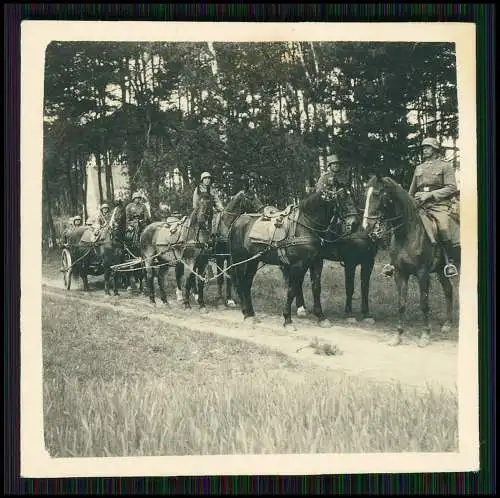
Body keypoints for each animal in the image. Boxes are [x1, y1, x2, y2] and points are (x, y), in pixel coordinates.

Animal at [227, 187, 356, 326]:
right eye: (341, 199)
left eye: (352, 197)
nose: (355, 223)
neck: (305, 225)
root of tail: (237, 221)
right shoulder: (297, 265)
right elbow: (292, 290)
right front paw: (287, 319)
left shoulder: (316, 262)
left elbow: (316, 288)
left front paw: (321, 317)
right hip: (240, 259)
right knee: (240, 283)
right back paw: (246, 313)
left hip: (253, 260)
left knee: (247, 283)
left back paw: (250, 314)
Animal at [292, 190, 378, 322]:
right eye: (341, 199)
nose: (354, 224)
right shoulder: (350, 263)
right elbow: (350, 287)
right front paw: (349, 313)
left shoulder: (369, 262)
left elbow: (365, 287)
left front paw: (366, 313)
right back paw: (301, 309)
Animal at [360, 175, 460, 346]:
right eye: (366, 193)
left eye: (378, 194)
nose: (366, 226)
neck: (407, 232)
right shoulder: (400, 273)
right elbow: (401, 303)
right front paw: (398, 335)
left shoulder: (422, 273)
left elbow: (424, 303)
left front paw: (425, 335)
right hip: (441, 270)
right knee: (448, 290)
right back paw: (447, 324)